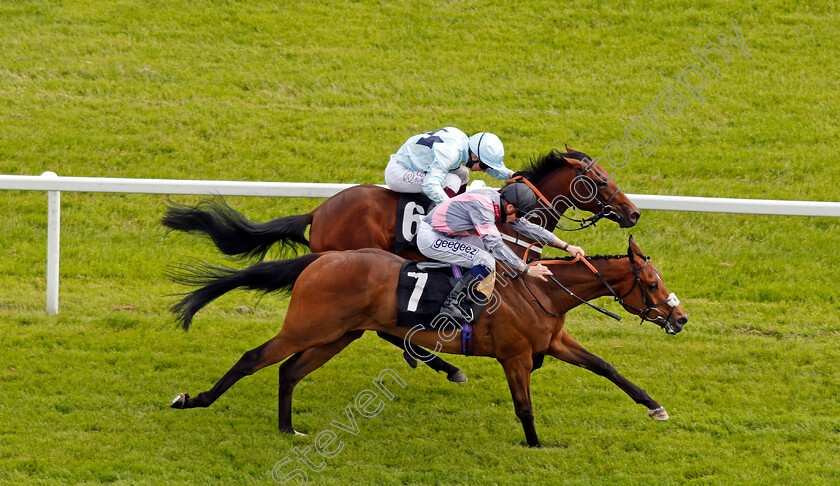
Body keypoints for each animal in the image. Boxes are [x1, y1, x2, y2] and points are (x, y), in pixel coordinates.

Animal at [169, 236, 684, 448]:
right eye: (651, 284)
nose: (679, 318)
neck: (542, 290)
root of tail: (320, 259)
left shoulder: (556, 341)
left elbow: (606, 367)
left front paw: (654, 407)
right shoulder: (515, 355)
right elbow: (524, 406)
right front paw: (537, 446)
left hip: (337, 335)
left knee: (288, 370)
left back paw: (286, 428)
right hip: (308, 327)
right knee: (253, 358)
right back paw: (192, 400)